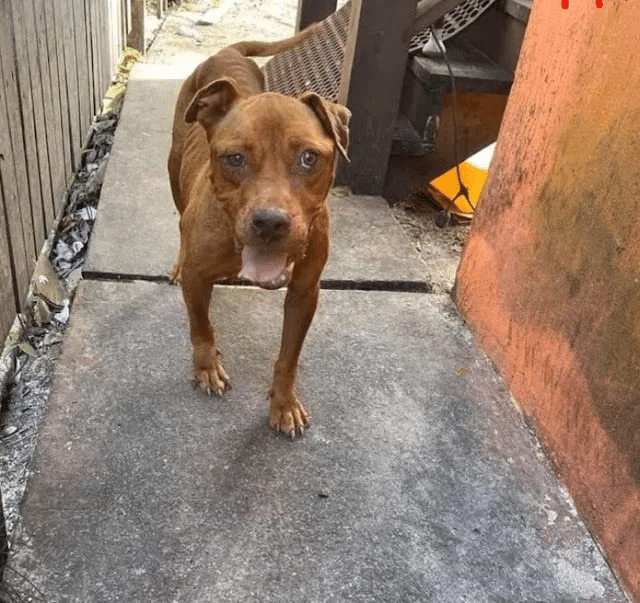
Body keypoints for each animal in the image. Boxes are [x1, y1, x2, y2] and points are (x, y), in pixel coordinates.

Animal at [168, 28, 350, 437]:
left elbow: (288, 358)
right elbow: (201, 325)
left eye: (309, 158)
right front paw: (206, 366)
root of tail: (227, 51)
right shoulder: (198, 276)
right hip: (173, 164)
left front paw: (283, 404)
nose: (270, 222)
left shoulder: (304, 293)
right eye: (235, 158)